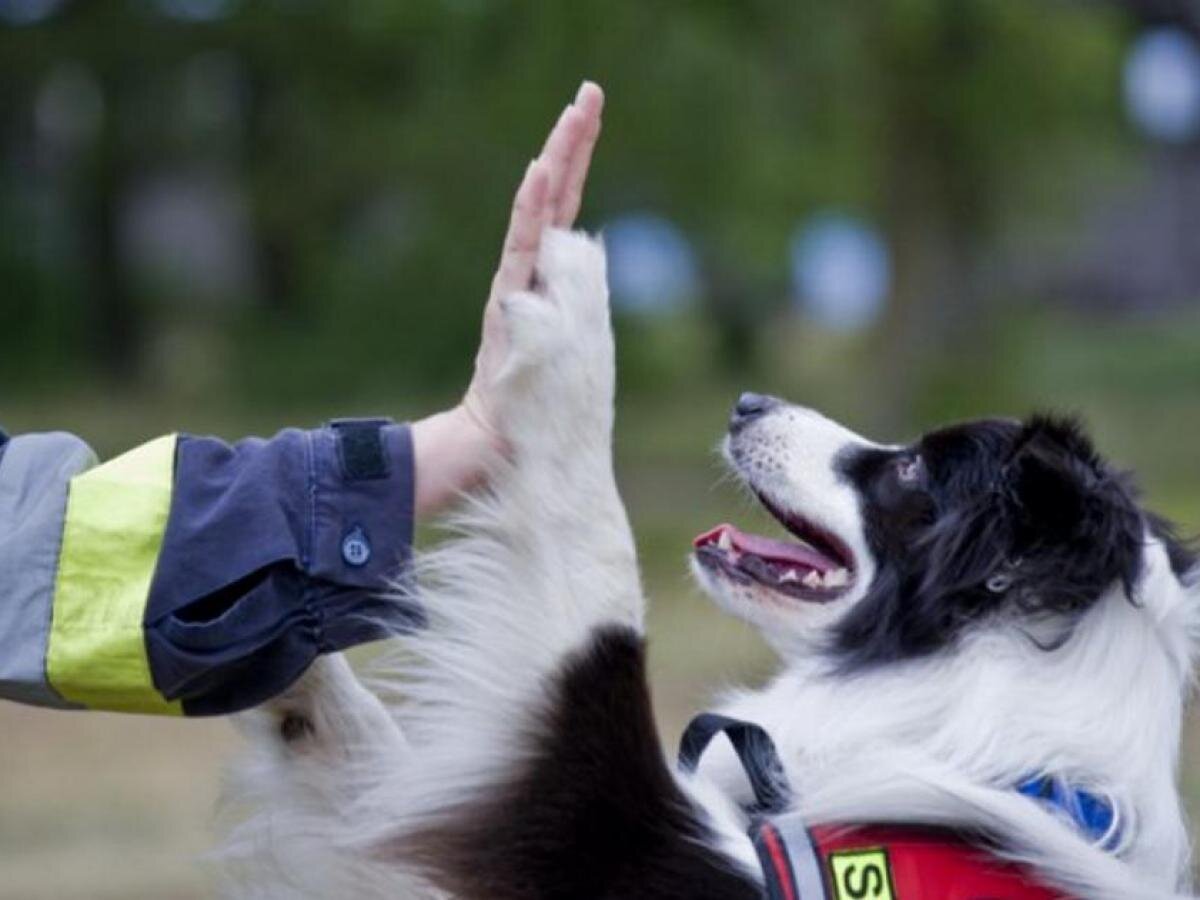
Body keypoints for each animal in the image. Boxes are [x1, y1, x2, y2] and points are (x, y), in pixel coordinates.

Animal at [220, 234, 1195, 900]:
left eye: (915, 469)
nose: (748, 400)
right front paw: (278, 655)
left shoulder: (592, 830)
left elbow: (596, 593)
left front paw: (570, 301)